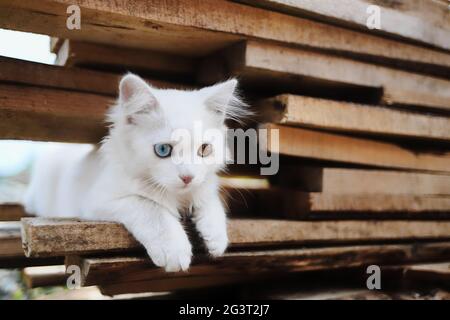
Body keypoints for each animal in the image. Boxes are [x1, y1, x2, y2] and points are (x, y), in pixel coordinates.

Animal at [23, 74, 246, 272]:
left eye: (204, 149)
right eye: (163, 149)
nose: (187, 177)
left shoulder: (203, 185)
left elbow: (210, 201)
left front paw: (216, 238)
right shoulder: (99, 200)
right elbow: (150, 207)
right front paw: (174, 249)